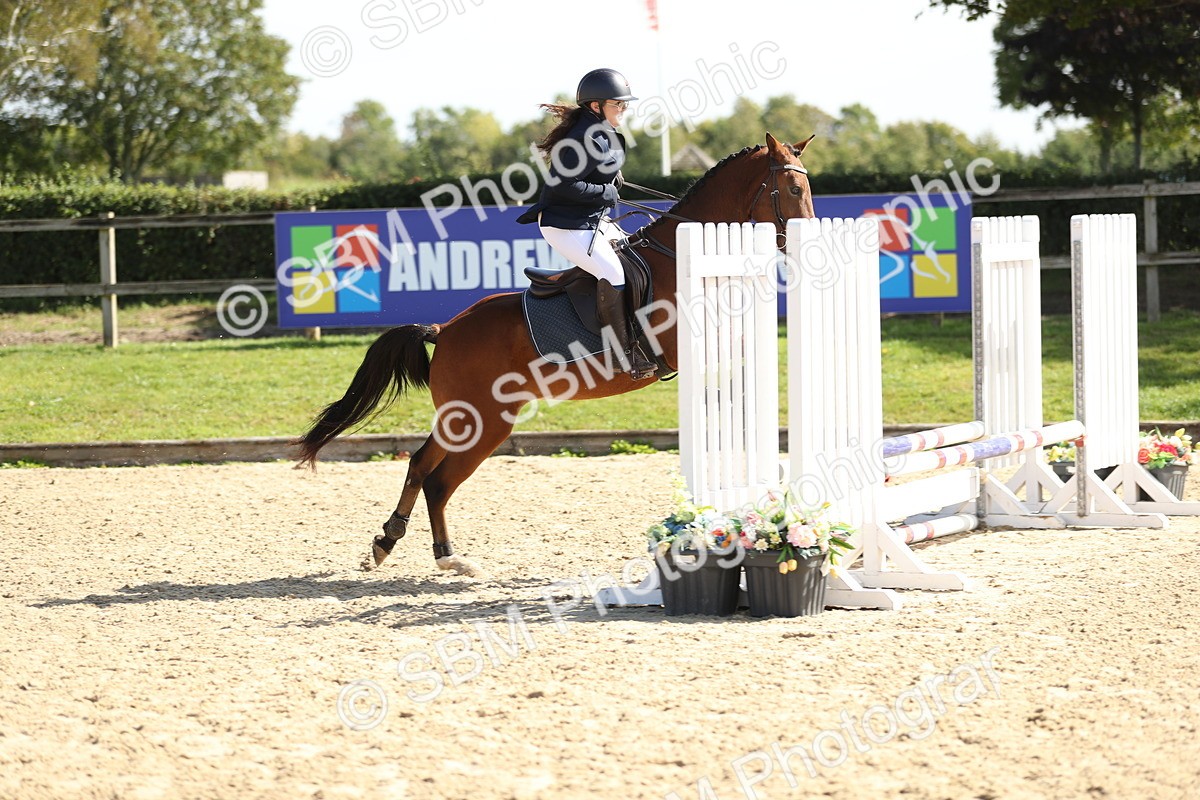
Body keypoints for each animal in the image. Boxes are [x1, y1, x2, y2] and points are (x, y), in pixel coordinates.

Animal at [296, 132, 816, 577]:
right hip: (481, 421)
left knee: (425, 470)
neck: (678, 258)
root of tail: (445, 330)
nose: (808, 249)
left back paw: (405, 547)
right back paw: (431, 554)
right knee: (434, 476)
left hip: (469, 419)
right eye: (793, 188)